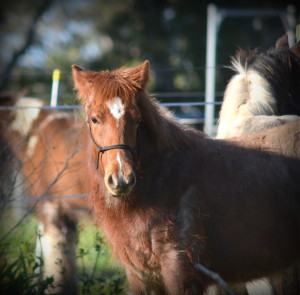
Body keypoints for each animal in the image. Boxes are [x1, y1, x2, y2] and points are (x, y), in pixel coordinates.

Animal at [72, 61, 300, 295]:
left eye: (137, 120)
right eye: (95, 119)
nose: (121, 179)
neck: (160, 181)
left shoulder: (181, 274)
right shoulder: (141, 276)